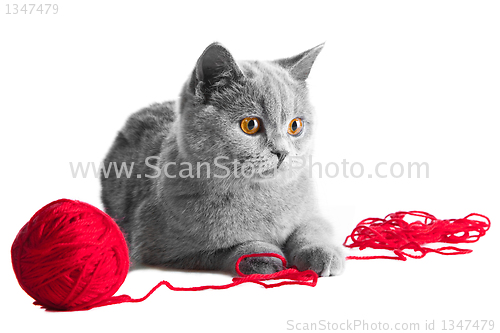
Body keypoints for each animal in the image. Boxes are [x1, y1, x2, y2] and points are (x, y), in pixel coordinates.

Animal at [100, 42, 344, 274]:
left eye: (295, 126)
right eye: (250, 124)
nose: (282, 152)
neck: (261, 195)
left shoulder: (311, 212)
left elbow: (312, 228)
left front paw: (323, 252)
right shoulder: (163, 249)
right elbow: (227, 247)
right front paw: (263, 257)